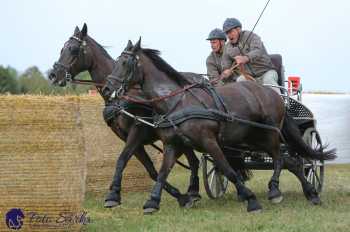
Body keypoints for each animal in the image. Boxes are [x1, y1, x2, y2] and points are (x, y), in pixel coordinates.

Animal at [49, 24, 202, 208]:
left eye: (73, 49)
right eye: (62, 48)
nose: (53, 75)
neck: (121, 97)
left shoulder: (137, 131)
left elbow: (122, 160)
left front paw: (113, 195)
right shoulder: (125, 136)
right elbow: (151, 170)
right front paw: (179, 196)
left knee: (195, 161)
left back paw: (194, 192)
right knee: (194, 161)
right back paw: (192, 193)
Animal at [108, 38, 336, 214]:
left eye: (126, 62)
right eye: (117, 61)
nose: (109, 87)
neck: (178, 102)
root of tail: (274, 94)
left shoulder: (209, 141)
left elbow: (229, 170)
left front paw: (251, 200)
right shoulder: (173, 144)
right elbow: (163, 173)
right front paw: (153, 201)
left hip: (270, 135)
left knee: (284, 160)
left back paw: (279, 190)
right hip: (254, 140)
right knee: (291, 162)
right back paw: (308, 193)